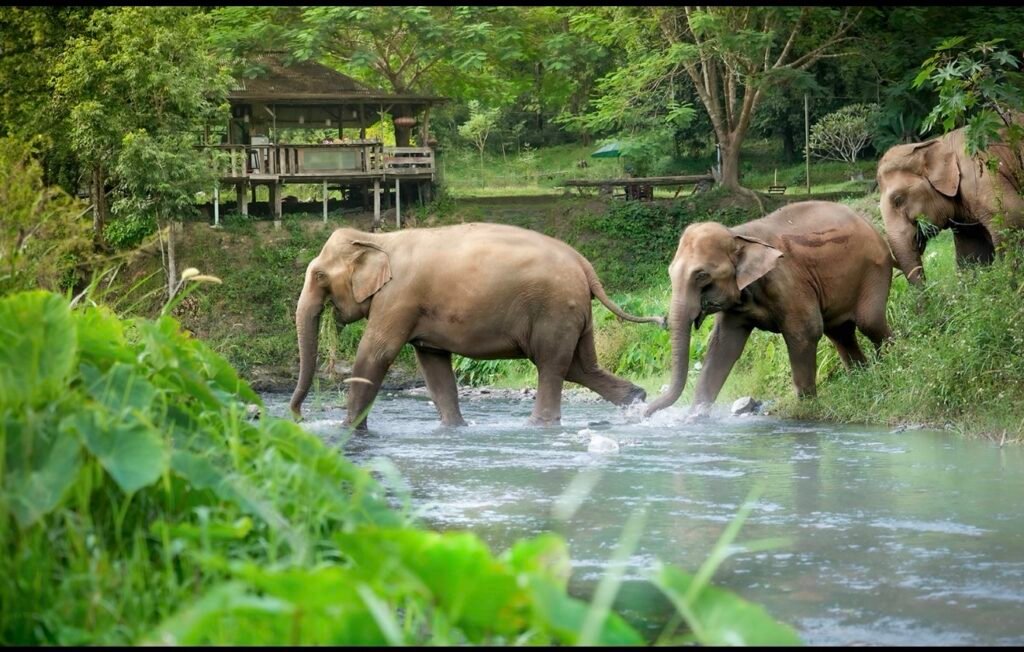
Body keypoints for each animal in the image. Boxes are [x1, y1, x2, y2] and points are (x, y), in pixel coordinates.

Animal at [289, 223, 665, 430]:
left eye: (319, 275)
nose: (299, 417)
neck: (378, 238)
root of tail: (585, 265)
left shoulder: (399, 298)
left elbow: (376, 353)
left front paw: (348, 430)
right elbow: (433, 364)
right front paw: (454, 428)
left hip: (554, 309)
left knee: (551, 365)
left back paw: (538, 425)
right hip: (574, 311)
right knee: (580, 366)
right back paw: (637, 400)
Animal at [643, 201, 894, 418]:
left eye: (701, 276)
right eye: (670, 272)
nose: (644, 413)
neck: (738, 235)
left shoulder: (787, 281)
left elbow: (805, 331)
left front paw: (805, 409)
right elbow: (723, 346)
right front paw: (694, 417)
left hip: (874, 270)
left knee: (869, 322)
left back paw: (889, 365)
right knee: (840, 334)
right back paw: (862, 377)